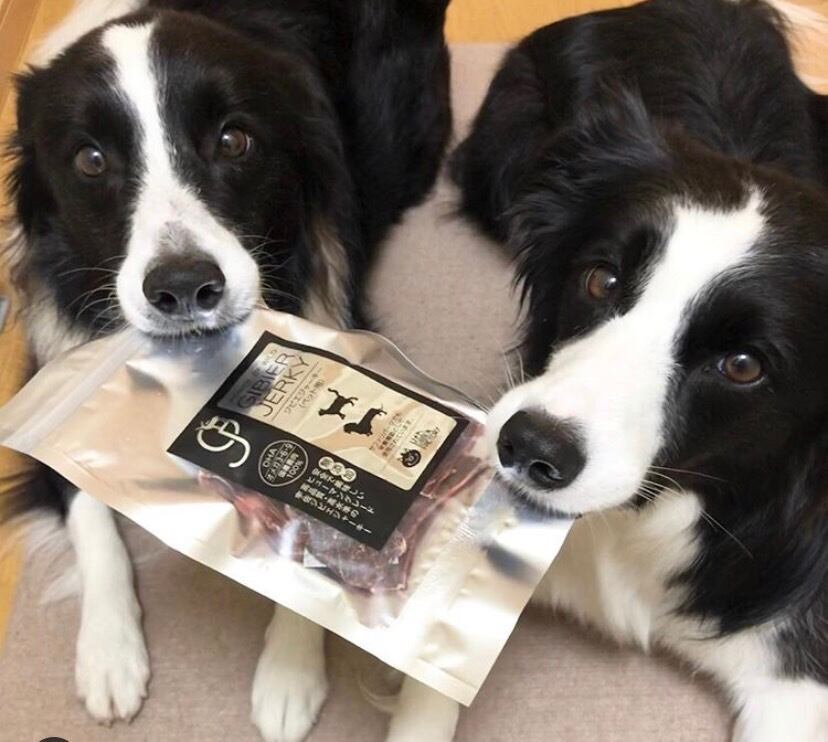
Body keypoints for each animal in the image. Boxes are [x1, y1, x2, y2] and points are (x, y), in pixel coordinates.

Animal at [2, 1, 451, 740]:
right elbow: (82, 501)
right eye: (90, 160)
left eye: (234, 141)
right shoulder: (51, 364)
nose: (183, 287)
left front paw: (289, 675)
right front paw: (108, 655)